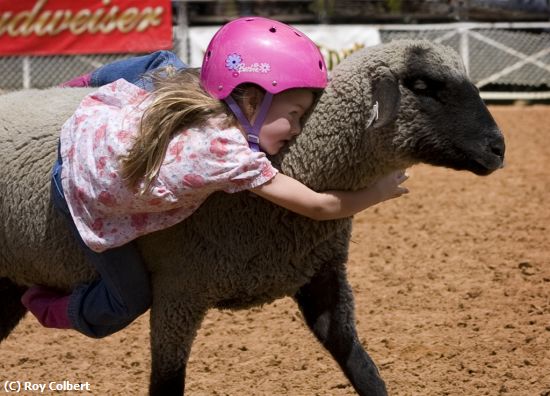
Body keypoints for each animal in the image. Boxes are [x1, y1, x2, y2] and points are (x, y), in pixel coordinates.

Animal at [0, 38, 506, 396]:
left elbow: (361, 366)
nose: (498, 148)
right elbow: (166, 383)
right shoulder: (179, 292)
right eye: (422, 86)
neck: (298, 158)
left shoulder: (322, 275)